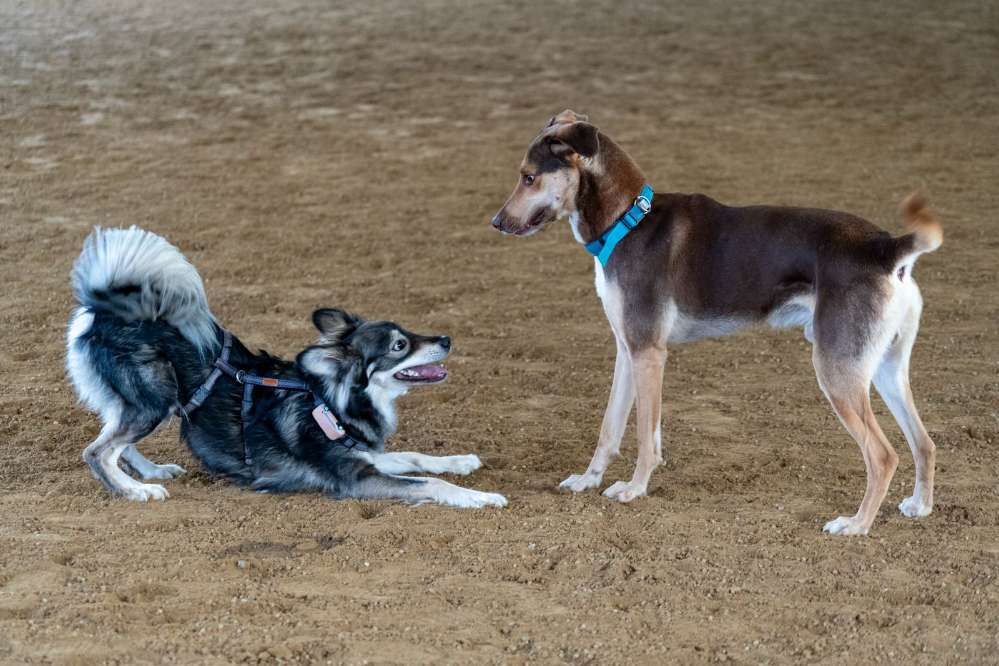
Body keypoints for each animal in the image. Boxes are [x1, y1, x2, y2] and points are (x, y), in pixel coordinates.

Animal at [65, 226, 506, 508]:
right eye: (399, 345)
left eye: (409, 331)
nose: (446, 339)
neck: (330, 402)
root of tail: (103, 311)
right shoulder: (354, 475)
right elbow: (429, 481)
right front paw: (483, 497)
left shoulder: (366, 456)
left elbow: (416, 458)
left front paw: (460, 462)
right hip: (154, 399)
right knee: (98, 451)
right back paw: (135, 491)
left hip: (142, 402)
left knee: (117, 441)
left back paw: (152, 471)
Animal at [491, 110, 941, 535]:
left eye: (528, 177)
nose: (496, 222)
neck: (628, 222)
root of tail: (885, 249)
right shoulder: (628, 350)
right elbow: (613, 429)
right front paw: (589, 480)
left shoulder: (648, 353)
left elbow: (642, 436)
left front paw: (635, 488)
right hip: (884, 369)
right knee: (924, 442)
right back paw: (919, 506)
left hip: (837, 371)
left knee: (883, 455)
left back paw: (856, 524)